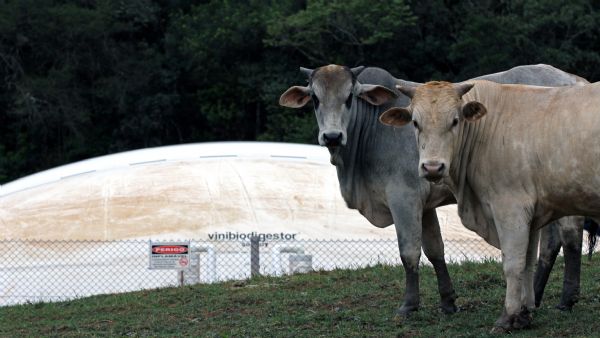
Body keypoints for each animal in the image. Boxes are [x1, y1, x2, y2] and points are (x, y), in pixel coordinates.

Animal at [280, 64, 584, 316]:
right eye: (316, 99)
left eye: (349, 98)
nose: (332, 136)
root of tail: (573, 79)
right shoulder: (424, 205)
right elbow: (435, 250)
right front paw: (448, 302)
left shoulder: (404, 198)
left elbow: (409, 252)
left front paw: (409, 305)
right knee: (549, 243)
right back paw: (537, 295)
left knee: (570, 237)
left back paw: (566, 299)